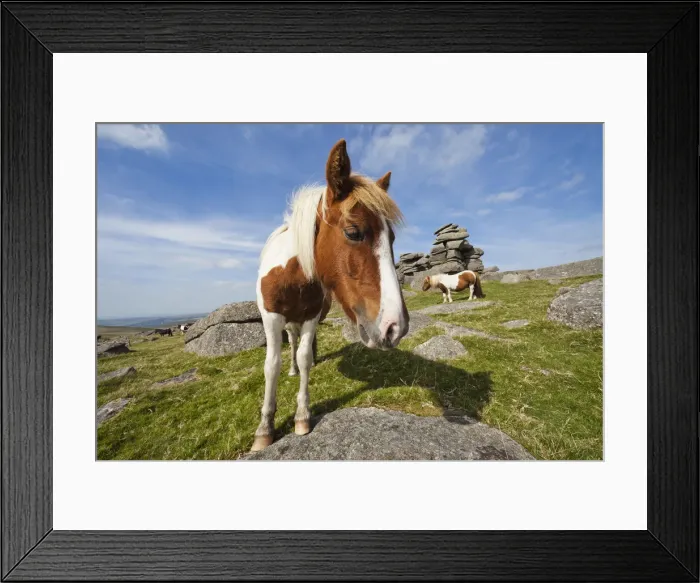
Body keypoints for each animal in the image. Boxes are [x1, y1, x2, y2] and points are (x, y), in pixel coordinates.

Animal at [252, 138, 409, 452]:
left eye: (392, 238)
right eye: (353, 232)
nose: (395, 327)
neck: (292, 276)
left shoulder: (312, 316)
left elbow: (304, 357)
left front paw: (302, 416)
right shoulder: (271, 318)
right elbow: (271, 366)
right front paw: (265, 429)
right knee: (289, 345)